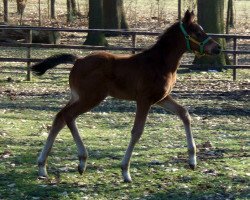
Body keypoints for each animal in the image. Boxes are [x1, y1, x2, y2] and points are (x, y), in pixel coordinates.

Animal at [31, 10, 221, 183]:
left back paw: (42, 167)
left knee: (59, 117)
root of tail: (78, 60)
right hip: (91, 98)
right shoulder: (144, 100)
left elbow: (184, 113)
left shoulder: (161, 98)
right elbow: (137, 131)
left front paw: (192, 161)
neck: (159, 63)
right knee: (68, 115)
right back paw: (81, 161)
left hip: (78, 97)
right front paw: (125, 171)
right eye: (198, 32)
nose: (218, 48)